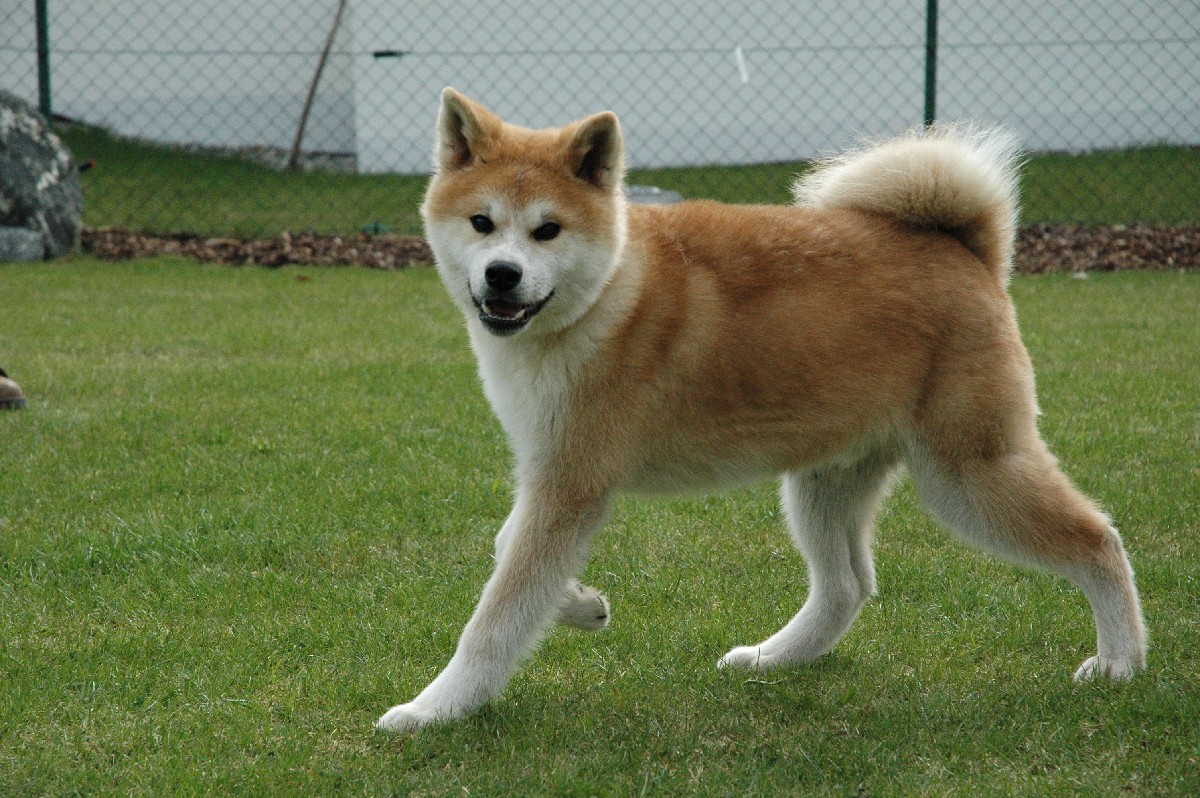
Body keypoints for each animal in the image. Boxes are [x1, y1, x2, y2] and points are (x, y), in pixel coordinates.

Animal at [375, 89, 1147, 732]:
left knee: (1097, 540)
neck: (606, 295)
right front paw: (581, 602)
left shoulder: (569, 484)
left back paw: (1120, 661)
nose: (501, 275)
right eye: (482, 223)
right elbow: (507, 551)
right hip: (824, 481)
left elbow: (495, 619)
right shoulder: (552, 479)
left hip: (969, 474)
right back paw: (775, 659)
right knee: (846, 587)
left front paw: (434, 710)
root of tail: (966, 252)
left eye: (548, 231)